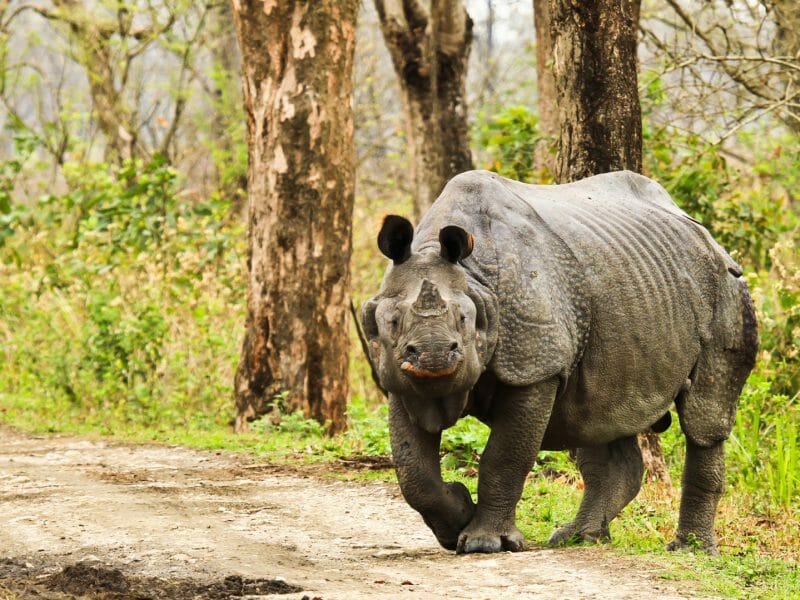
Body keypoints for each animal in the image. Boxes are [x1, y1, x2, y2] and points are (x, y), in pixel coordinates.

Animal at [362, 170, 758, 555]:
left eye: (464, 320)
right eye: (392, 322)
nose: (435, 354)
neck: (476, 281)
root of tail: (705, 234)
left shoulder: (536, 368)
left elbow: (505, 456)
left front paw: (484, 543)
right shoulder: (399, 377)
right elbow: (412, 470)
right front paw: (458, 513)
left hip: (726, 287)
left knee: (704, 419)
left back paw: (691, 550)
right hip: (630, 286)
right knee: (596, 414)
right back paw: (579, 537)